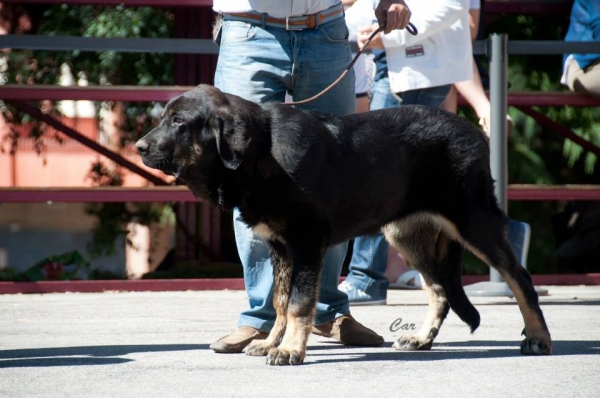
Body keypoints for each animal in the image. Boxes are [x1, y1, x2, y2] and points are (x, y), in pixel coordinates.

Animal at [137, 85, 552, 366]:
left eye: (179, 122)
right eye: (164, 118)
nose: (139, 147)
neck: (261, 154)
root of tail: (476, 133)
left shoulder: (306, 241)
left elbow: (299, 303)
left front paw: (289, 349)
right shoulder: (280, 247)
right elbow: (280, 301)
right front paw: (272, 342)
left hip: (473, 220)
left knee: (519, 278)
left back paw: (538, 338)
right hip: (406, 234)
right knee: (439, 290)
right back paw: (420, 339)